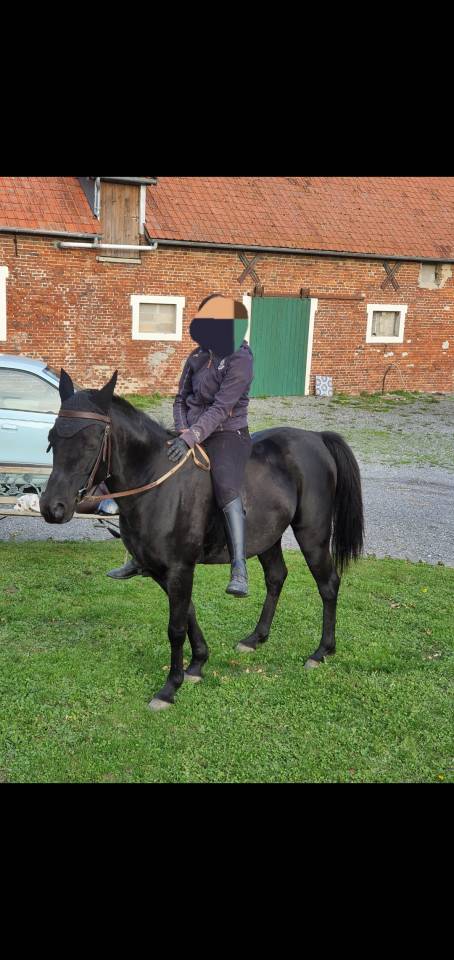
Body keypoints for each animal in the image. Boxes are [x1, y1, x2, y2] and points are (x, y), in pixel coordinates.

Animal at [40, 370, 365, 711]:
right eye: (52, 438)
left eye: (91, 442)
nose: (52, 507)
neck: (156, 481)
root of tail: (316, 437)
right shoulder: (163, 571)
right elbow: (189, 614)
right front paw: (197, 665)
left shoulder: (181, 568)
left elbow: (175, 627)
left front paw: (170, 687)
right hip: (266, 537)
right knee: (277, 577)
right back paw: (255, 639)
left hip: (312, 534)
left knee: (328, 584)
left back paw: (322, 651)